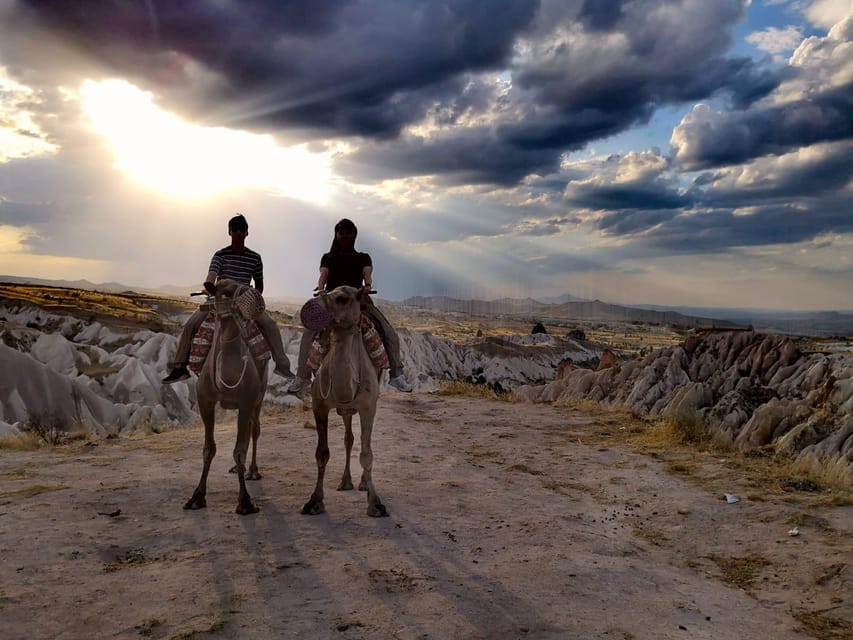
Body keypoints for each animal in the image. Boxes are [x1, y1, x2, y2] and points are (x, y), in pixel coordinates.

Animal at [184, 278, 270, 516]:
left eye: (247, 285)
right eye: (224, 292)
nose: (256, 299)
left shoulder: (247, 401)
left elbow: (238, 450)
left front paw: (245, 501)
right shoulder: (205, 400)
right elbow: (208, 449)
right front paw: (196, 496)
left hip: (259, 396)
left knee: (254, 430)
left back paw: (252, 471)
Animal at [302, 288, 388, 516]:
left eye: (342, 298)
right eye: (325, 291)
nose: (310, 307)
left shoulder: (368, 407)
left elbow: (367, 454)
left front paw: (375, 503)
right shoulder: (319, 405)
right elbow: (322, 453)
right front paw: (314, 501)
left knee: (361, 442)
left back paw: (363, 483)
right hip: (345, 410)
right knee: (348, 439)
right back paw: (345, 482)